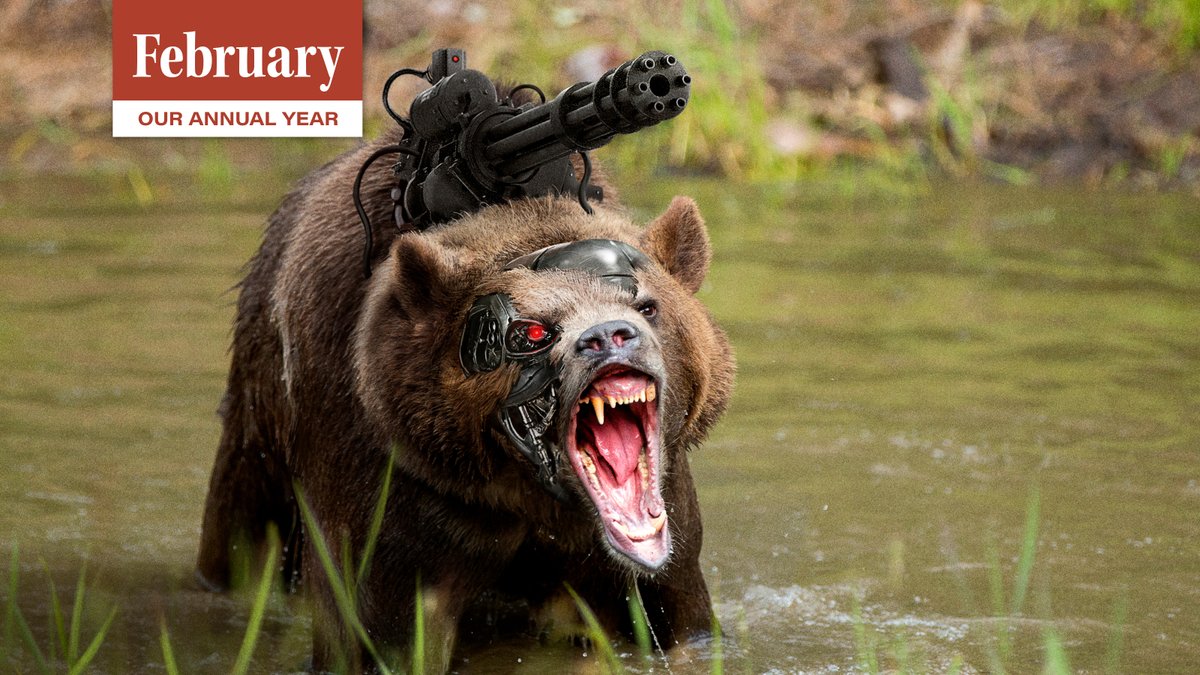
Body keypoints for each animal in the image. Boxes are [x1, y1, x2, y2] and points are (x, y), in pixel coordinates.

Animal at [195, 126, 735, 671]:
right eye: (533, 329)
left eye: (646, 305)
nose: (606, 336)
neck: (530, 496)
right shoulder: (397, 492)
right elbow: (382, 629)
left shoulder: (659, 533)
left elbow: (678, 616)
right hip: (261, 422)